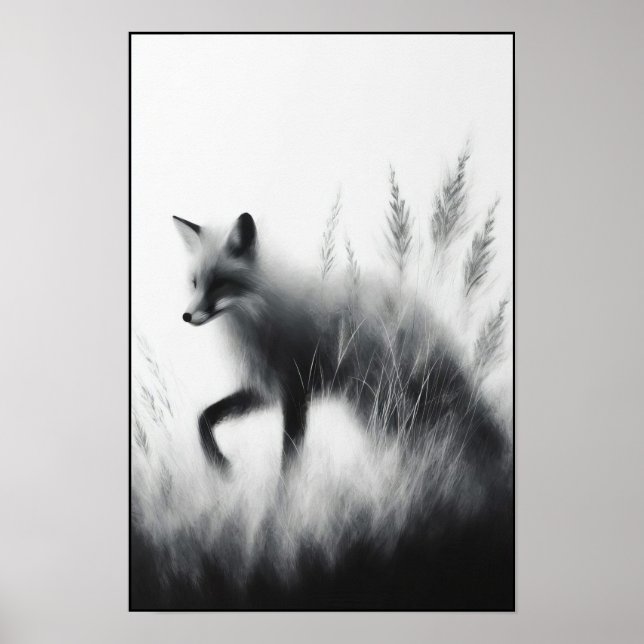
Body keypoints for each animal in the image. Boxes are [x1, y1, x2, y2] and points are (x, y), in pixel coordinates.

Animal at [173, 212, 508, 476]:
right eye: (195, 283)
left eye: (219, 282)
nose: (186, 316)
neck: (258, 316)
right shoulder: (264, 390)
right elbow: (204, 417)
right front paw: (219, 464)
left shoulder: (296, 392)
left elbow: (289, 462)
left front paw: (280, 506)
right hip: (376, 407)